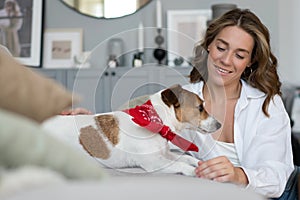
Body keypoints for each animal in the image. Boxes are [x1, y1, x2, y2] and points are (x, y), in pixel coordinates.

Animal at [42, 84, 220, 177]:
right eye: (200, 107)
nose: (219, 124)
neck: (155, 119)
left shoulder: (165, 155)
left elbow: (186, 158)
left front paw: (199, 163)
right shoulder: (154, 162)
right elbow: (182, 165)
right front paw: (195, 171)